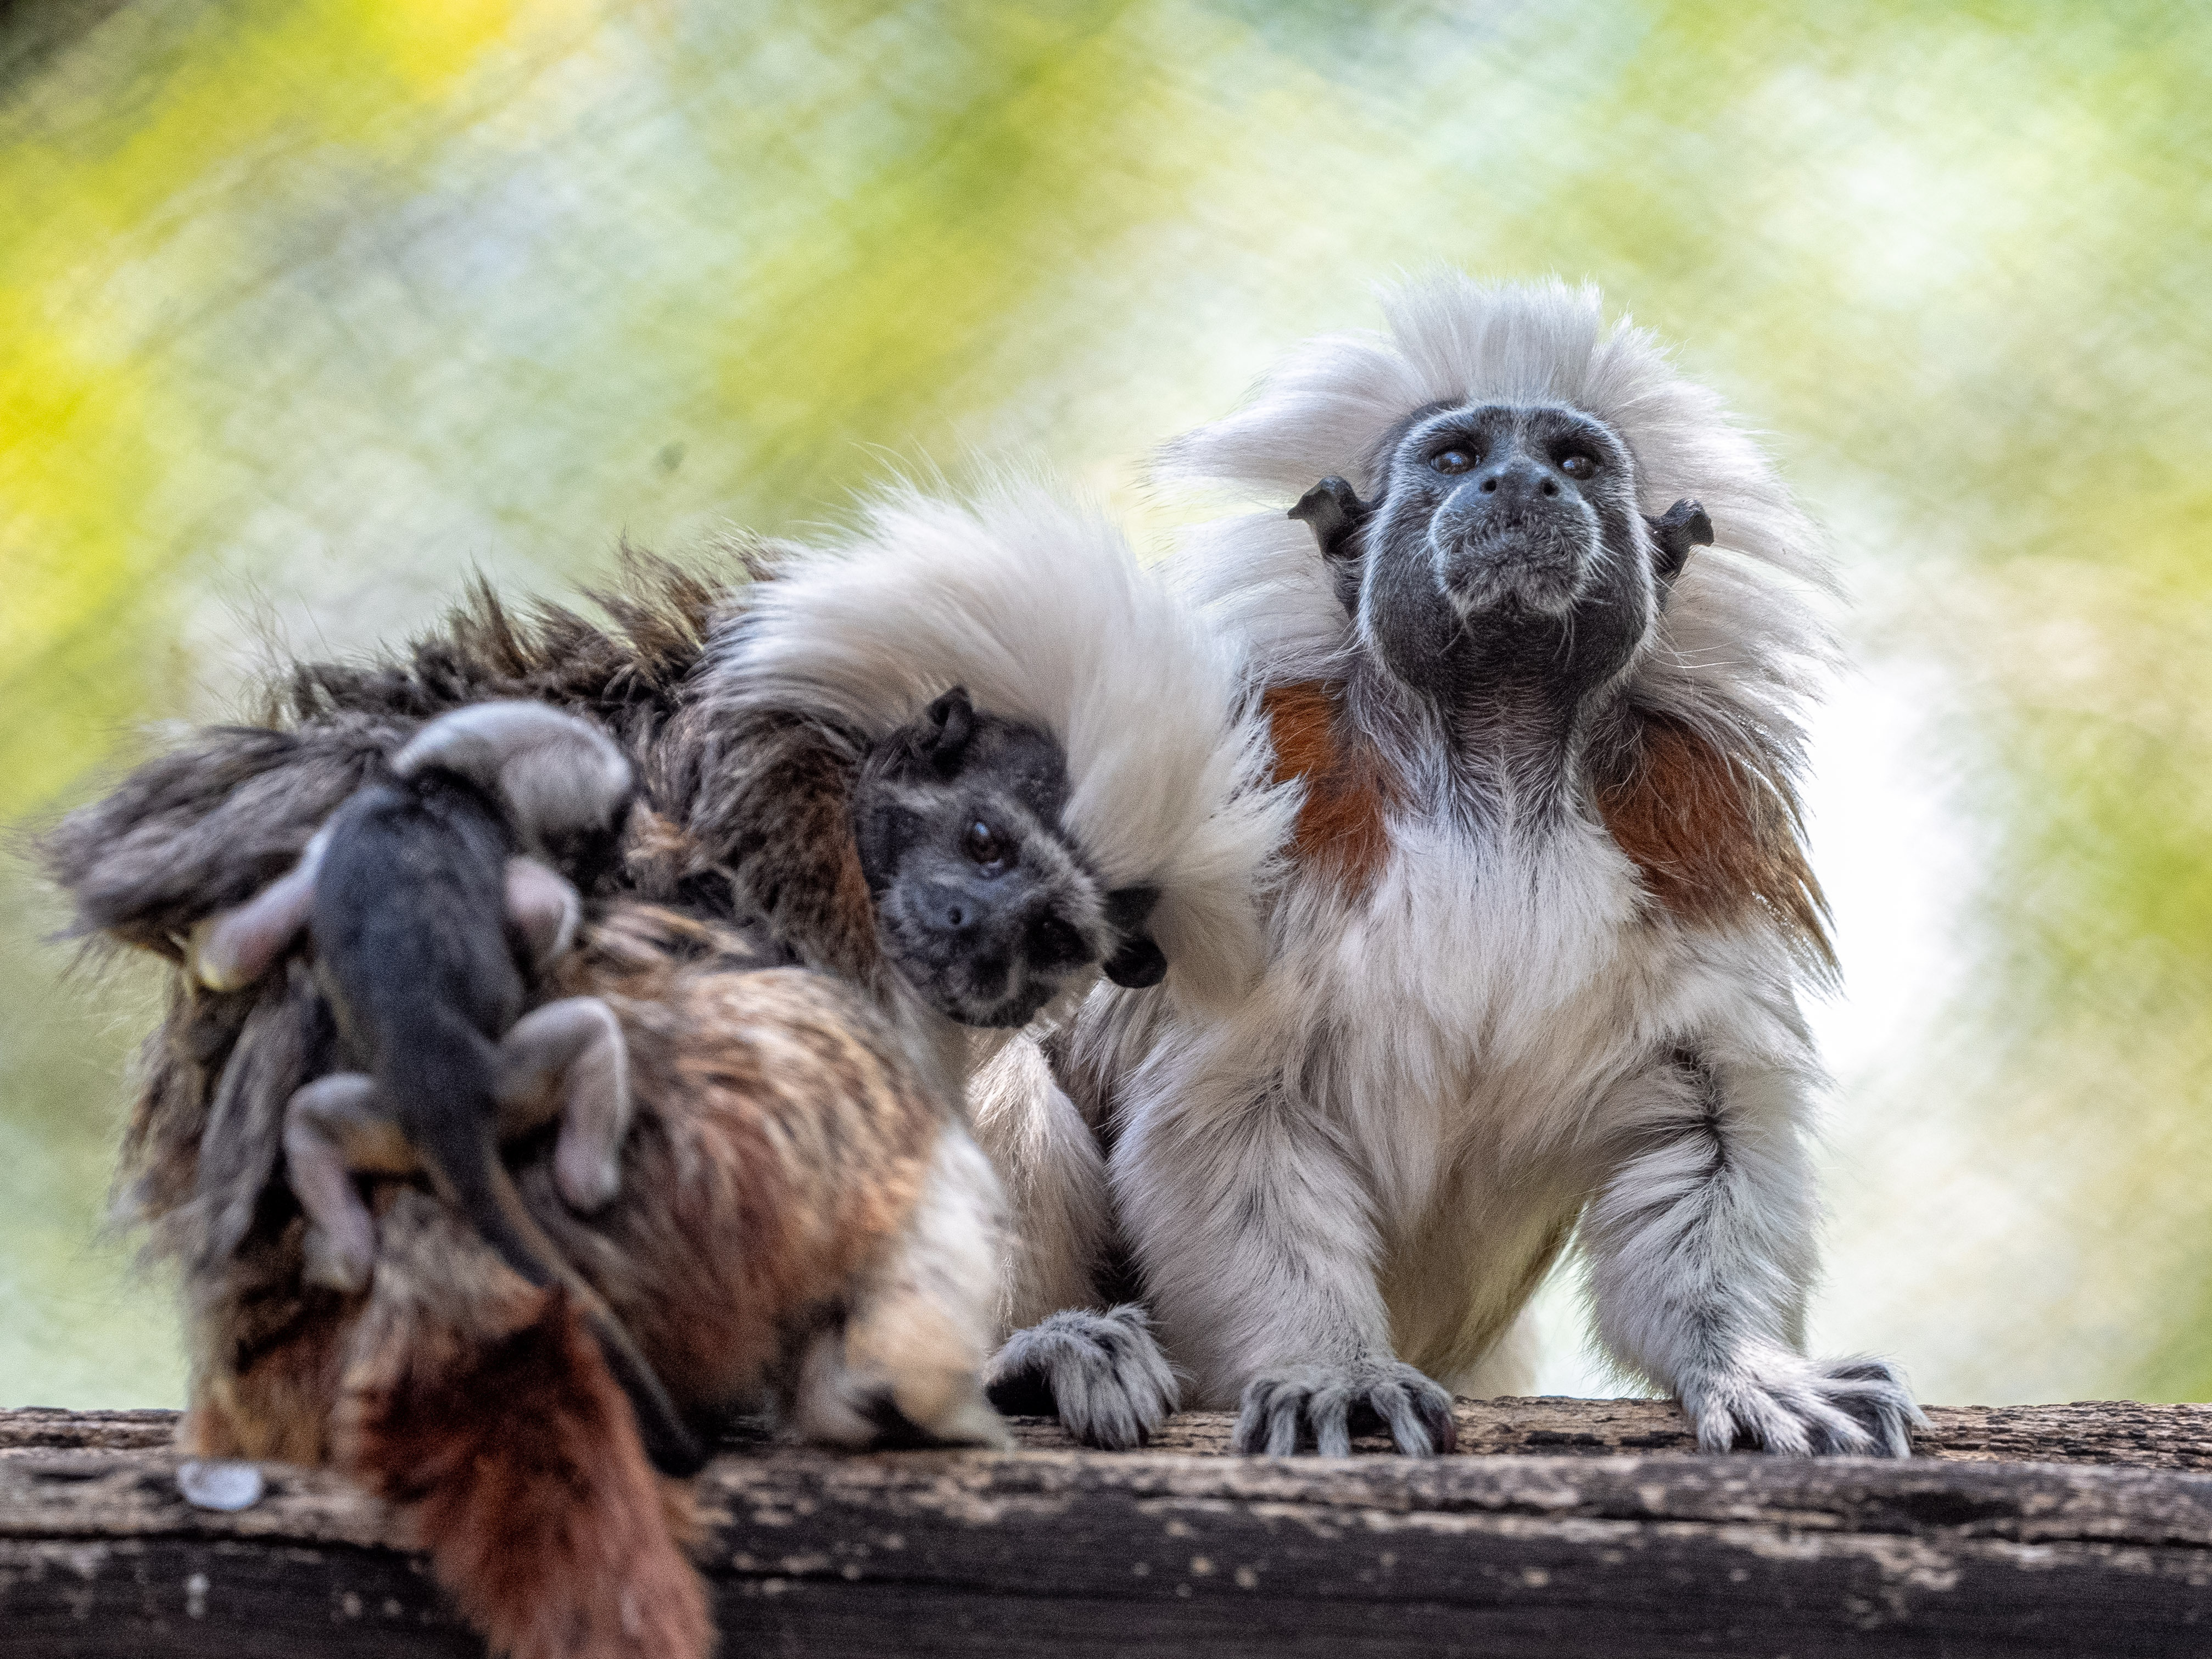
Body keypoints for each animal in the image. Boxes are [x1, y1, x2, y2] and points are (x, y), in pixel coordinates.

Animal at [992, 275, 1923, 1460]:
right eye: (1454, 455)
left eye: (1572, 459)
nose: (1517, 482)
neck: (1495, 783)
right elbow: (1225, 1121)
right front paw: (1336, 1371)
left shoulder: (1690, 860)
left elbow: (1701, 1127)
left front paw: (1753, 1368)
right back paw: (1041, 1350)